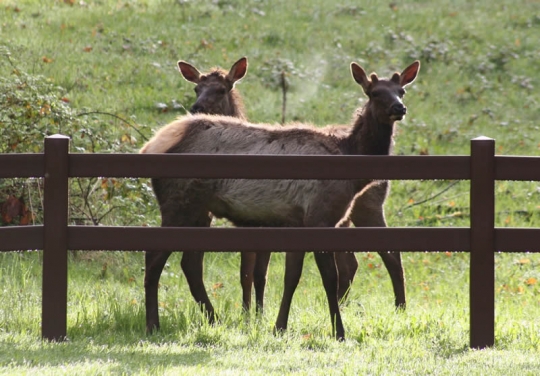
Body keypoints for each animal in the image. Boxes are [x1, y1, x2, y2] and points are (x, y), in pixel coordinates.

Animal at [141, 60, 420, 340]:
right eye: (374, 93)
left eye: (401, 91)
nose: (399, 108)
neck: (349, 160)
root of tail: (150, 146)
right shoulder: (319, 217)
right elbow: (329, 279)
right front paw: (339, 332)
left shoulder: (298, 222)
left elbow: (291, 277)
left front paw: (279, 326)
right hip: (179, 205)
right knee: (154, 257)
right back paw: (153, 324)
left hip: (200, 211)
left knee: (189, 263)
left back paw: (213, 319)